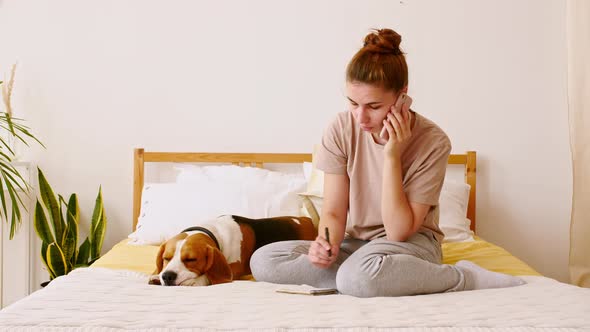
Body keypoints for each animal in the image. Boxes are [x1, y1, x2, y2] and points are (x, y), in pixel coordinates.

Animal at [150, 215, 316, 286]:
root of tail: (307, 219)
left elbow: (208, 276)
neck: (215, 232)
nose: (167, 276)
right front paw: (156, 276)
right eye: (166, 258)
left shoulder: (234, 269)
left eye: (191, 259)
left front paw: (195, 280)